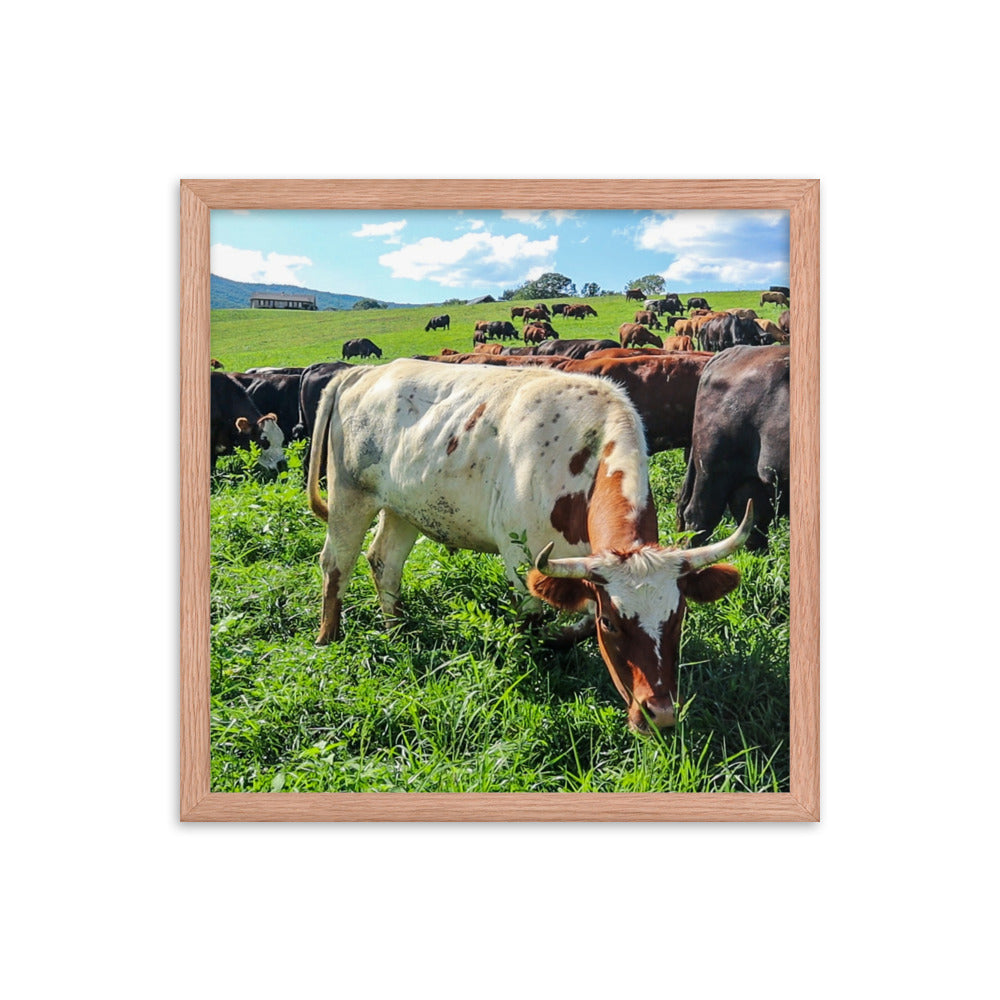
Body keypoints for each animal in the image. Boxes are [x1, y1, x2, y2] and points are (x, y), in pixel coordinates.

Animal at [307, 359, 752, 732]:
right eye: (613, 623)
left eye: (678, 617)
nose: (659, 715)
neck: (583, 456)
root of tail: (364, 372)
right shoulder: (522, 559)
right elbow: (534, 621)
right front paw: (535, 658)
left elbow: (578, 621)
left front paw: (560, 639)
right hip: (349, 497)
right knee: (336, 565)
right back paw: (328, 638)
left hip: (403, 509)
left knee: (385, 562)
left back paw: (397, 629)